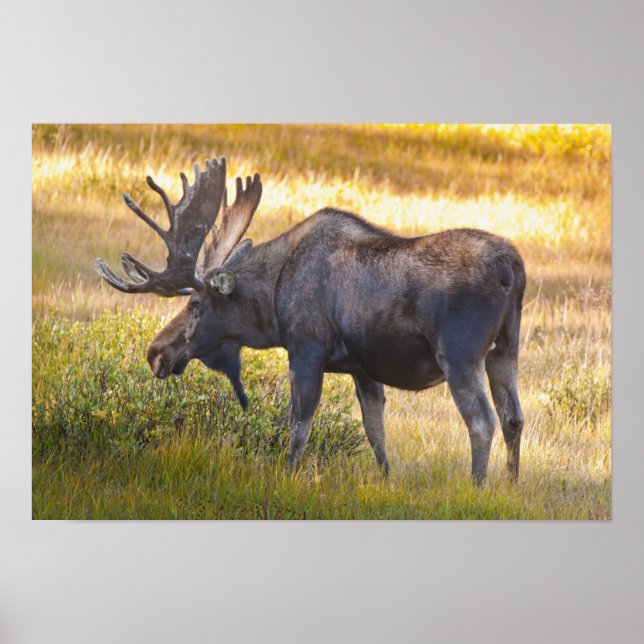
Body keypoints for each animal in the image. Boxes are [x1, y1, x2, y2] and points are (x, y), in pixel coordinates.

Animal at [94, 157, 526, 485]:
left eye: (197, 303)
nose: (156, 352)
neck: (272, 303)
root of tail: (513, 269)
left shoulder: (306, 348)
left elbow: (298, 424)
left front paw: (287, 476)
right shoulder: (363, 369)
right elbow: (376, 433)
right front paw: (386, 479)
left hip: (459, 355)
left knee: (482, 420)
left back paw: (477, 485)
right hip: (505, 349)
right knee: (513, 418)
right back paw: (511, 483)